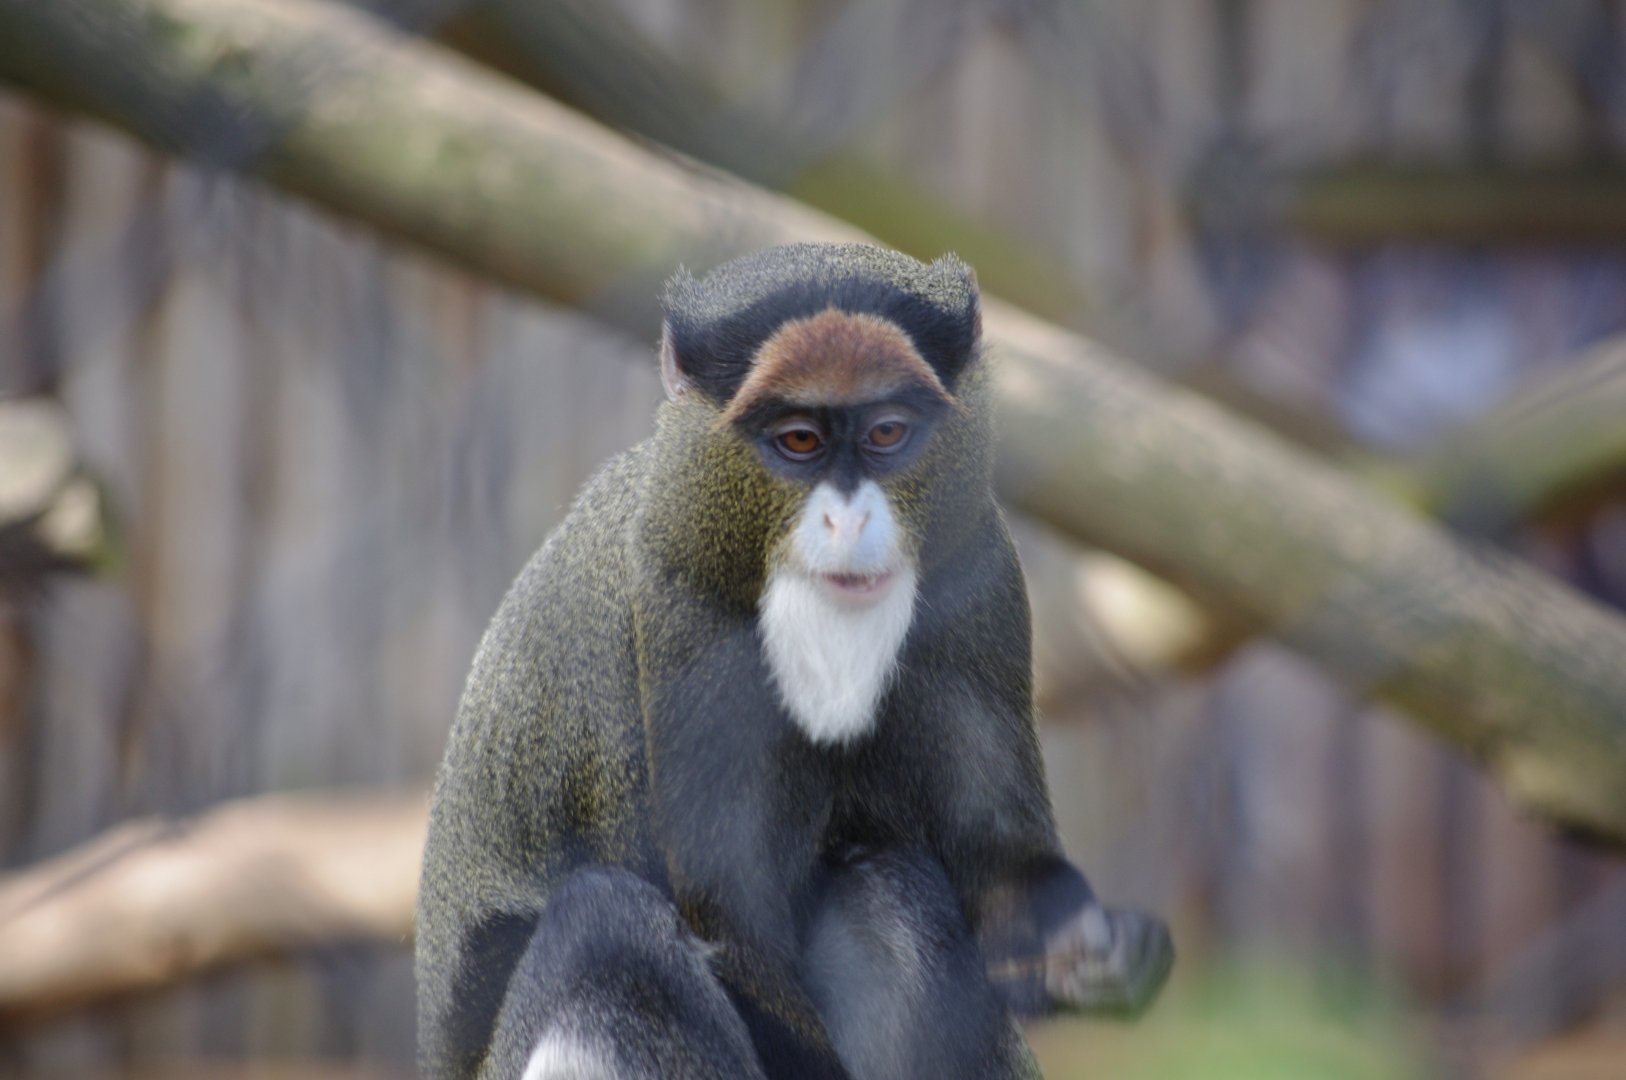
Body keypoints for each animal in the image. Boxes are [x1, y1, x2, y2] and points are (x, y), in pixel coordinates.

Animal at [416, 242, 1173, 1080]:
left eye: (886, 432)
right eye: (800, 441)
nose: (849, 519)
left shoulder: (982, 565)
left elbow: (999, 855)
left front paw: (1092, 954)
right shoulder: (679, 604)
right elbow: (728, 924)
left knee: (885, 884)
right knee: (603, 927)